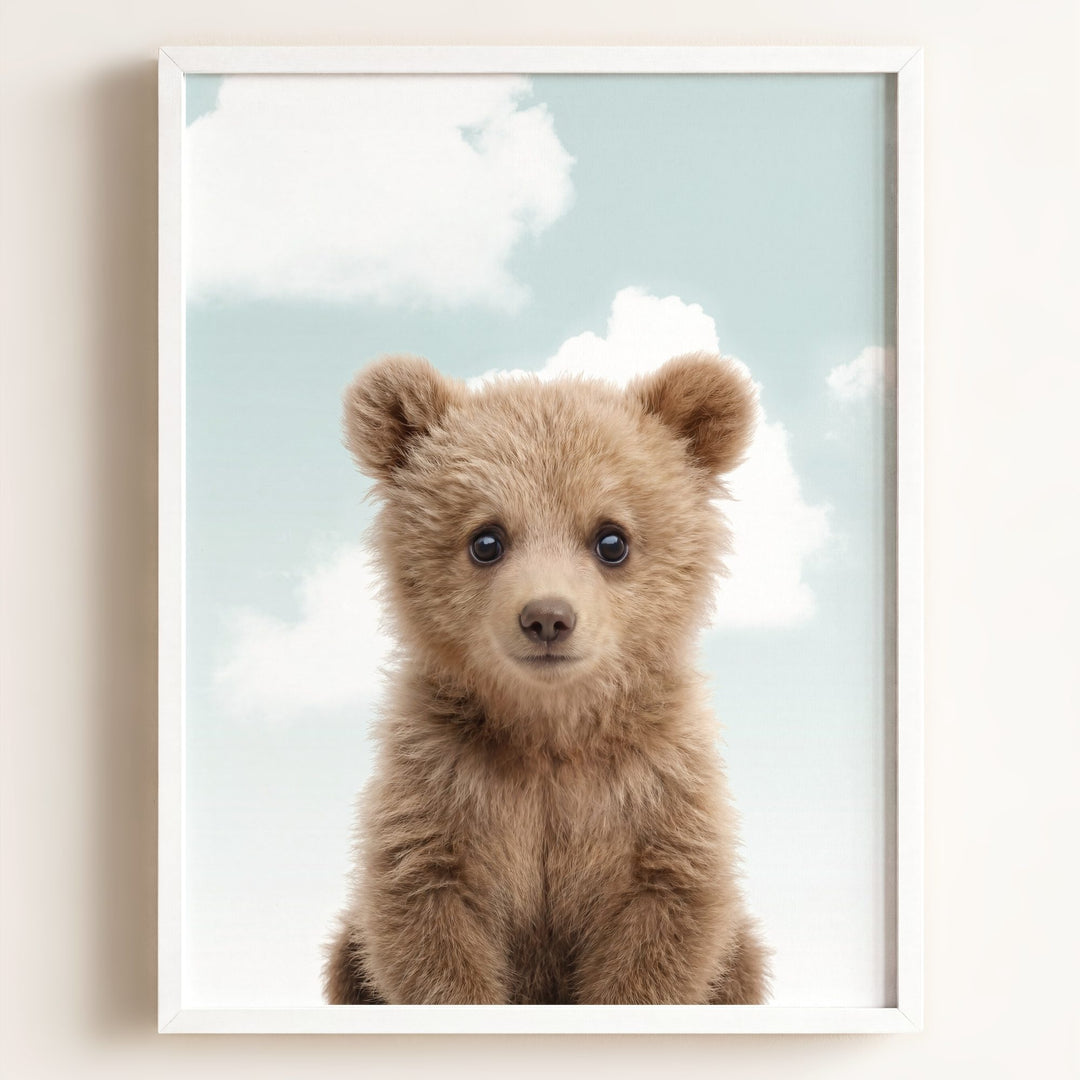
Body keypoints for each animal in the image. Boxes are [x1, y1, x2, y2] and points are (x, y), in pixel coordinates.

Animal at [323, 351, 770, 1005]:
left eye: (612, 539)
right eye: (486, 539)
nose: (548, 617)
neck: (549, 730)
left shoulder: (655, 793)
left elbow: (663, 925)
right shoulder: (441, 785)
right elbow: (427, 919)